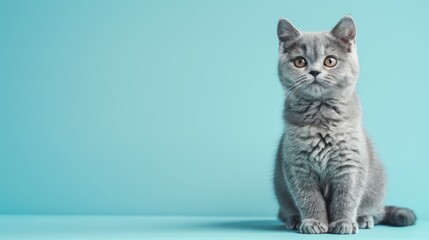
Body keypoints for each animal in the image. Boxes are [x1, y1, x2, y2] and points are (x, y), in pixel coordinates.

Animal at [274, 15, 414, 234]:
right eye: (299, 62)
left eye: (330, 61)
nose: (314, 72)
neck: (321, 116)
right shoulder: (298, 165)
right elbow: (308, 198)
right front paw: (314, 222)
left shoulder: (349, 164)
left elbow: (346, 197)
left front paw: (343, 223)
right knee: (284, 212)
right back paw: (294, 219)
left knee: (377, 213)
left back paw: (363, 218)